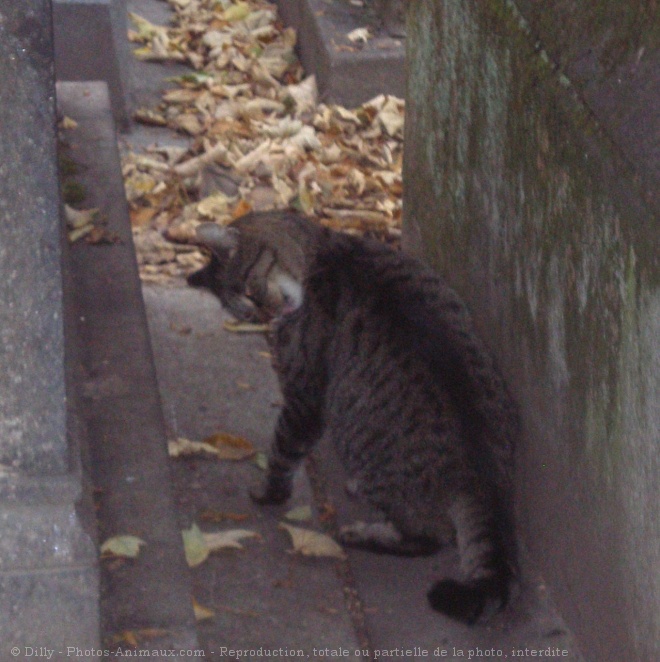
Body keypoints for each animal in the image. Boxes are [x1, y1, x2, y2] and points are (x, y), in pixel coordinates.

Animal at [188, 210, 520, 624]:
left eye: (247, 292)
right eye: (244, 311)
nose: (266, 317)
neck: (320, 251)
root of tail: (481, 478)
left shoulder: (303, 398)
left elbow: (282, 451)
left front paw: (268, 492)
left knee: (426, 537)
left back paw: (363, 531)